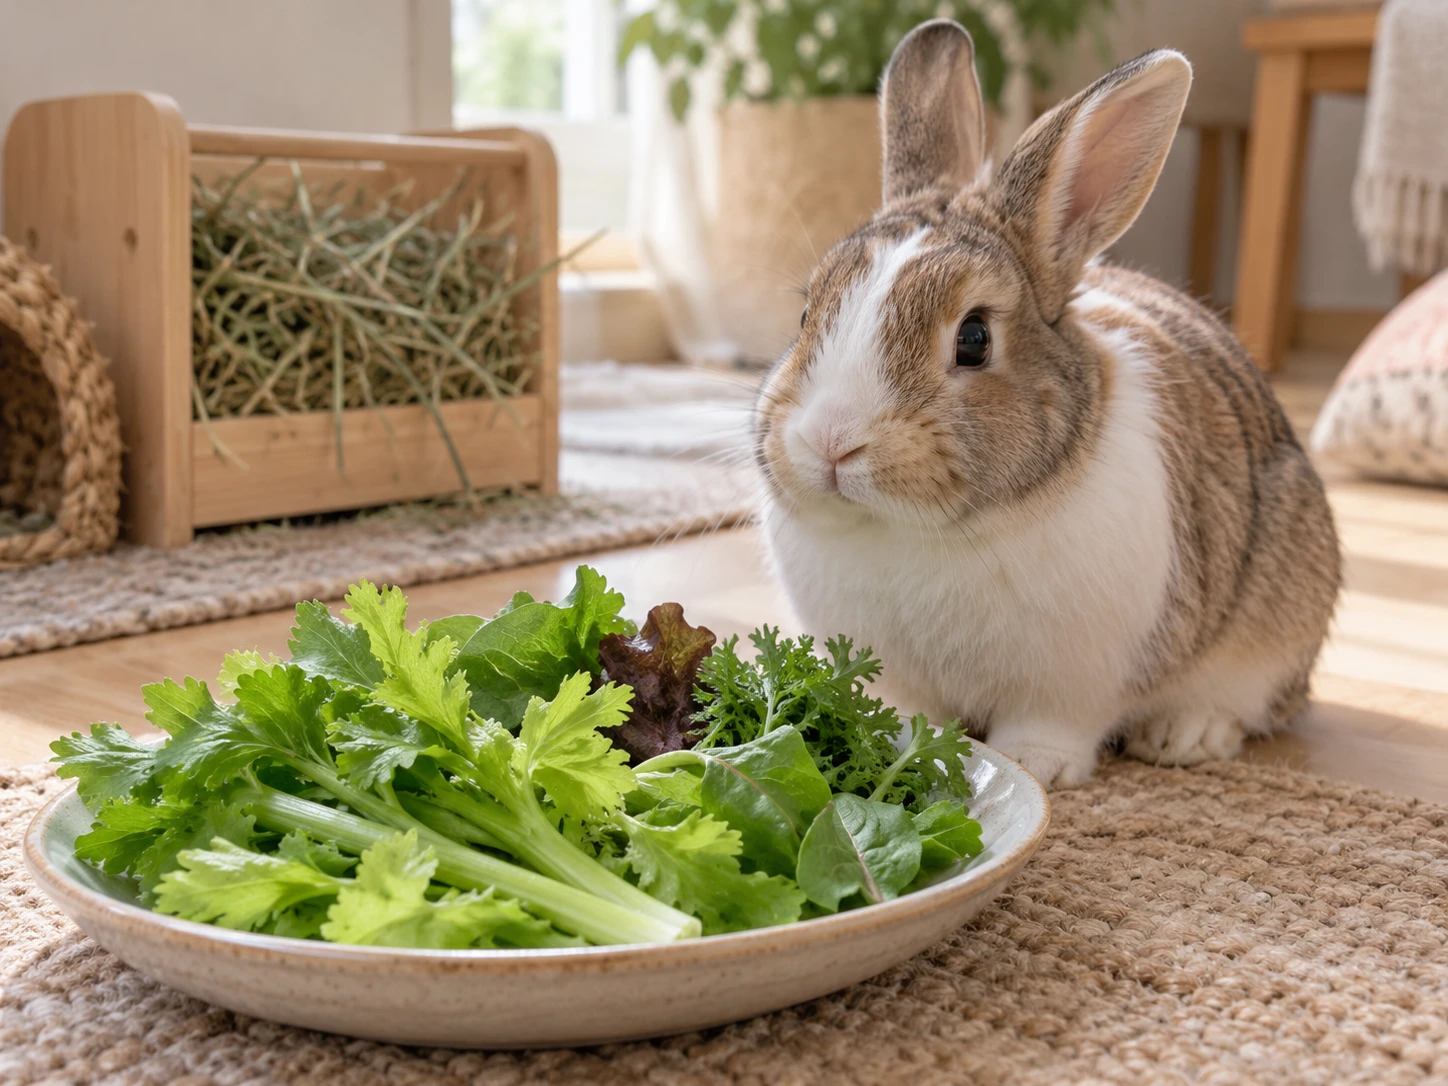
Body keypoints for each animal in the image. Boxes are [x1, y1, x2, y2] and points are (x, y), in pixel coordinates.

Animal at [752, 20, 1342, 789]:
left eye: (974, 338)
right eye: (803, 315)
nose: (830, 440)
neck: (918, 530)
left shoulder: (1075, 683)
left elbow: (1052, 726)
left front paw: (1037, 767)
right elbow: (901, 708)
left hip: (1274, 626)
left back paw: (1185, 734)